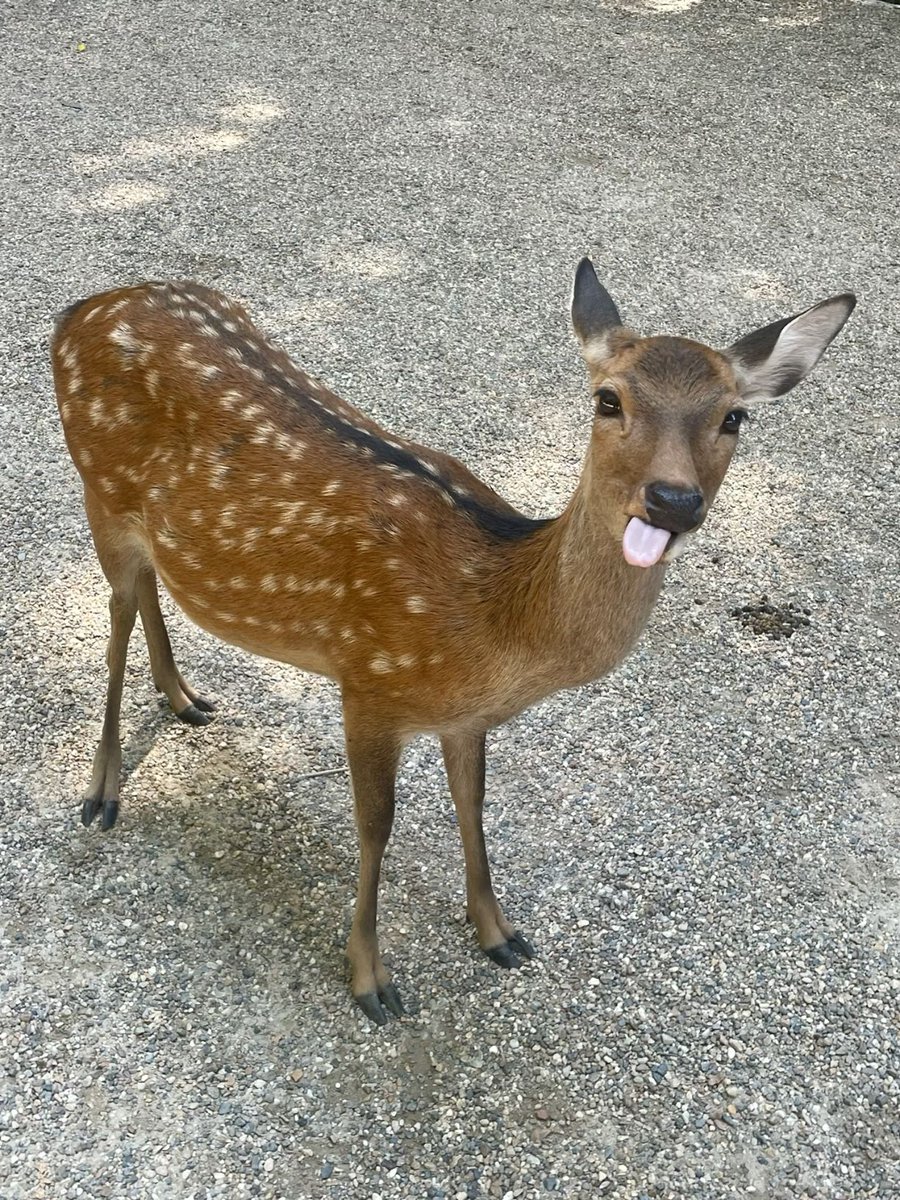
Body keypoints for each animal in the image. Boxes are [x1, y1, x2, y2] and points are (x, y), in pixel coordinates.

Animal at [50, 260, 855, 1023]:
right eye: (609, 400)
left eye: (734, 416)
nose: (673, 500)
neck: (490, 620)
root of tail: (80, 309)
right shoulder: (368, 678)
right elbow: (376, 827)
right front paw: (371, 979)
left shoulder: (464, 718)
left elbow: (473, 804)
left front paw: (498, 932)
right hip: (98, 489)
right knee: (116, 613)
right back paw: (103, 790)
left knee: (149, 588)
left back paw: (184, 697)